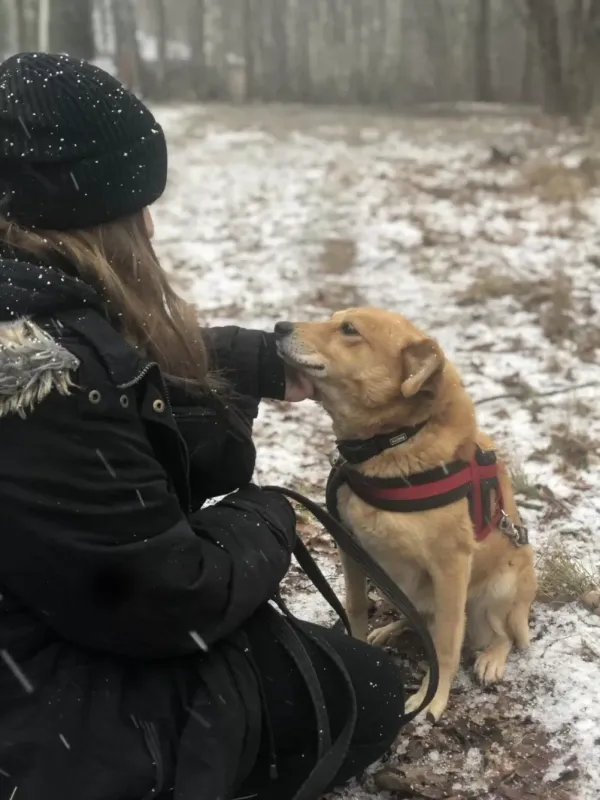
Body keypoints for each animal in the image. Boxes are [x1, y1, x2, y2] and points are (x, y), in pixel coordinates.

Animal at [276, 306, 540, 720]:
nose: (277, 327)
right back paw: (391, 629)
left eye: (348, 329)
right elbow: (355, 608)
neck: (390, 442)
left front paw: (434, 697)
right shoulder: (351, 549)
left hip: (500, 590)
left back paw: (492, 659)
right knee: (414, 618)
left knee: (502, 635)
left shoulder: (451, 567)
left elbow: (447, 641)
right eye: (333, 318)